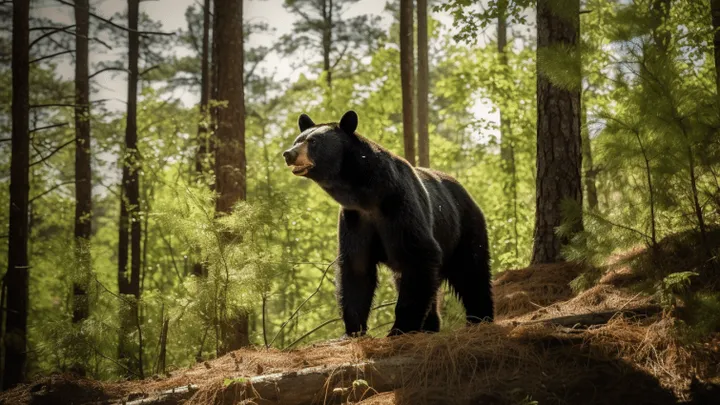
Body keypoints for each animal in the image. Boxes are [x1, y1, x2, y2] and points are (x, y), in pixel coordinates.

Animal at [282, 110, 493, 336]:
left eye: (313, 141)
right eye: (297, 140)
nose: (288, 154)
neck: (367, 195)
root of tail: (465, 191)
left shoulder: (399, 206)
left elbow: (419, 255)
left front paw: (400, 328)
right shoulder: (354, 219)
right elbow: (356, 269)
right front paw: (353, 329)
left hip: (463, 227)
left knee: (472, 271)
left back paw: (481, 318)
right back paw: (431, 325)